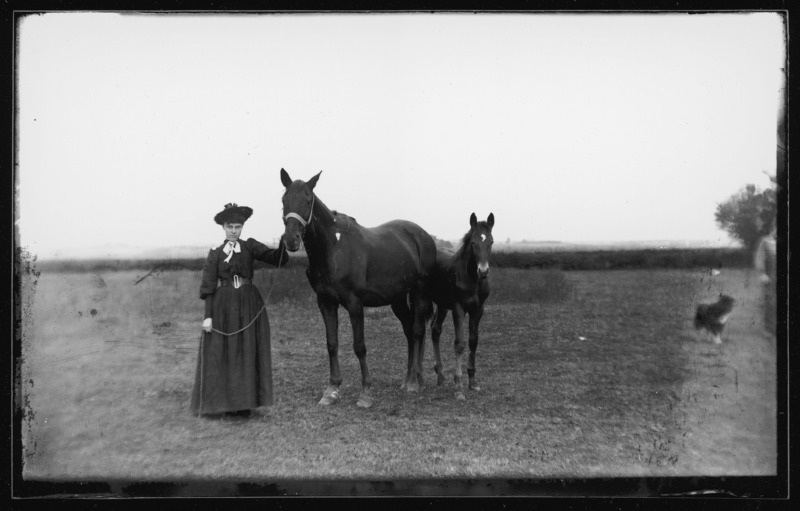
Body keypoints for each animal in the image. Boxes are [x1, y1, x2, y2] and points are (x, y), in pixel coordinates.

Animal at [280, 168, 437, 408]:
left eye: (307, 200)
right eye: (284, 199)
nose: (291, 240)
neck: (334, 249)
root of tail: (424, 236)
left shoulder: (355, 304)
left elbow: (359, 346)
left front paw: (365, 393)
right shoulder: (326, 302)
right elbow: (332, 344)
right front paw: (332, 390)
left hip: (420, 292)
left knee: (418, 331)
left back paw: (413, 382)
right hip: (398, 299)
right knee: (410, 331)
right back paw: (409, 378)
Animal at [429, 213, 494, 400]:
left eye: (491, 242)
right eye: (473, 242)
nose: (483, 271)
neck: (472, 279)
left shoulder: (477, 310)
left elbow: (473, 341)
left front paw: (472, 382)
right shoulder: (459, 308)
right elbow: (459, 343)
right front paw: (458, 387)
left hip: (442, 305)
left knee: (435, 330)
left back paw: (440, 375)